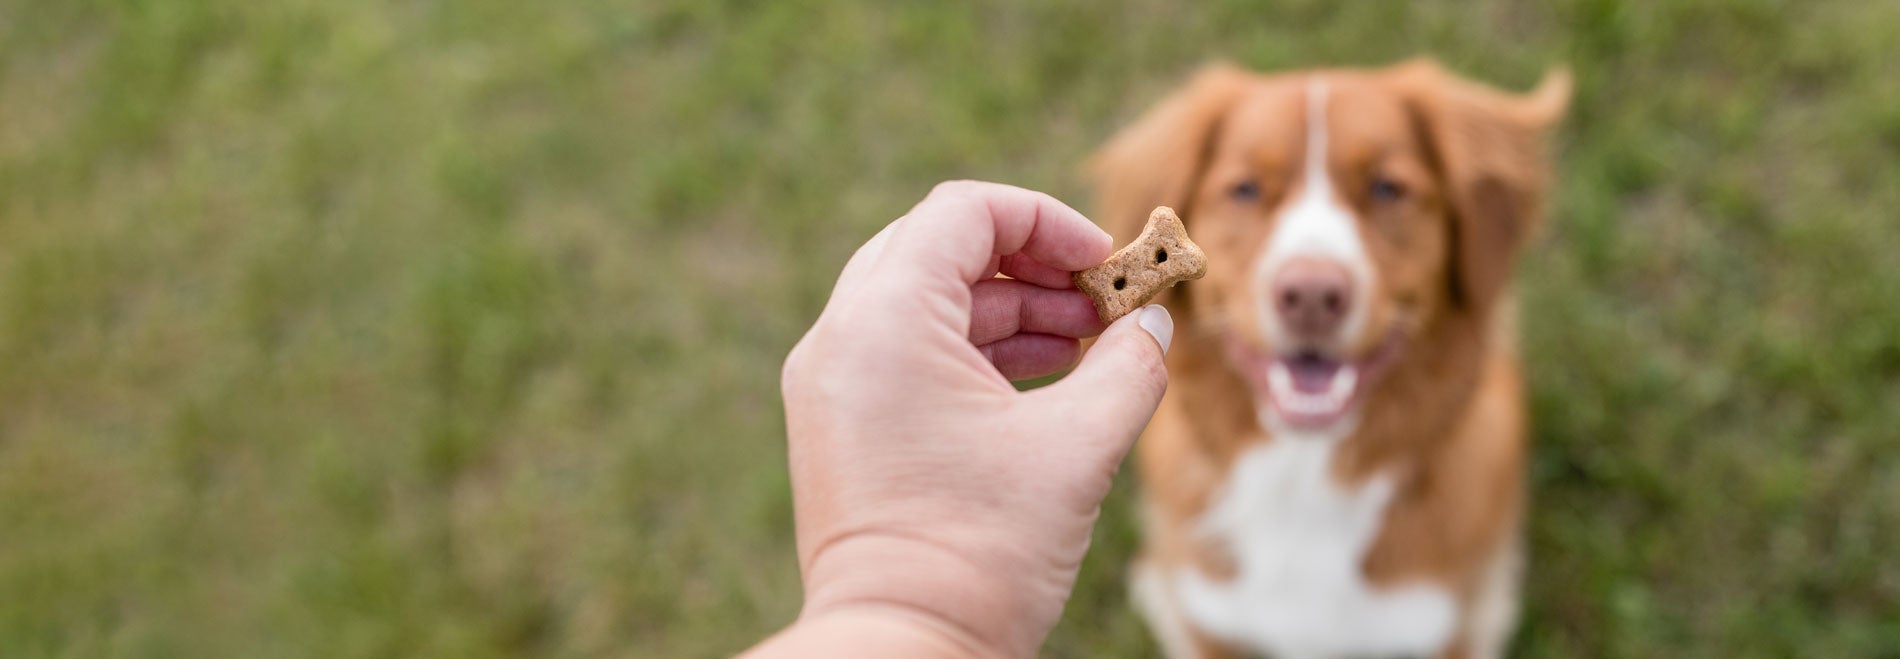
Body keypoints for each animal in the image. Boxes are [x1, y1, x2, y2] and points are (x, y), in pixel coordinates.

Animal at [1094, 60, 1565, 659]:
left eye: (1387, 188)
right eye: (1245, 189)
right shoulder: (1208, 620)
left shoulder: (1449, 626)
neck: (1306, 477)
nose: (1312, 294)